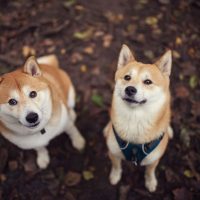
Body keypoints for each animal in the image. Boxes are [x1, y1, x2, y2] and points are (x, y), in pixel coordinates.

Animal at [104, 44, 173, 191]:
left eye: (148, 81)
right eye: (127, 77)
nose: (130, 89)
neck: (135, 120)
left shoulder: (154, 159)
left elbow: (150, 171)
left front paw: (150, 181)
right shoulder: (114, 153)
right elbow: (116, 166)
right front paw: (115, 176)